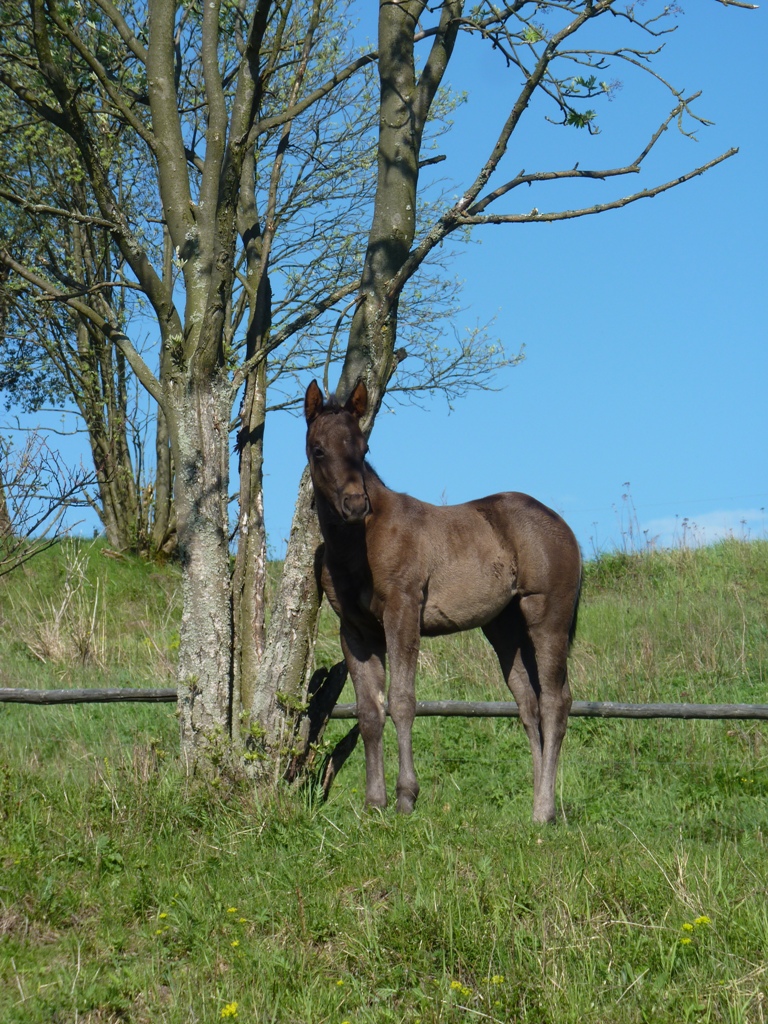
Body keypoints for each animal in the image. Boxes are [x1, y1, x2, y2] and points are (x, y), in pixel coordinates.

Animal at [303, 380, 581, 819]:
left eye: (363, 448)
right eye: (318, 450)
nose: (355, 504)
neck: (358, 545)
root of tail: (562, 525)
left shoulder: (402, 612)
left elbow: (401, 701)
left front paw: (405, 797)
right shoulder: (355, 631)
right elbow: (368, 711)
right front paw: (374, 802)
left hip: (547, 616)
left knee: (556, 701)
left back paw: (544, 812)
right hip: (504, 629)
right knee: (529, 705)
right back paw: (537, 805)